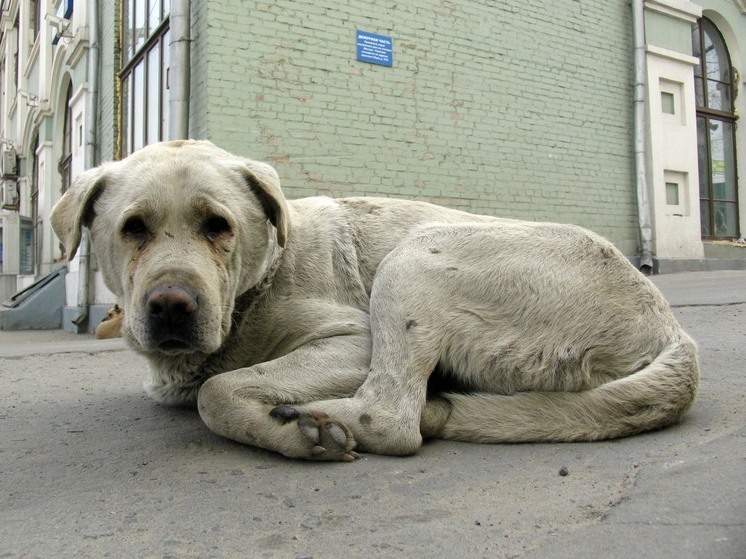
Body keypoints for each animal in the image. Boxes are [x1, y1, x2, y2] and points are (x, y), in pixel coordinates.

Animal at [52, 139, 696, 460]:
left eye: (217, 225)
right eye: (134, 228)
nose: (171, 305)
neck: (256, 284)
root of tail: (671, 330)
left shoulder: (349, 341)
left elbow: (218, 392)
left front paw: (290, 433)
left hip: (412, 262)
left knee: (391, 419)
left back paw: (321, 419)